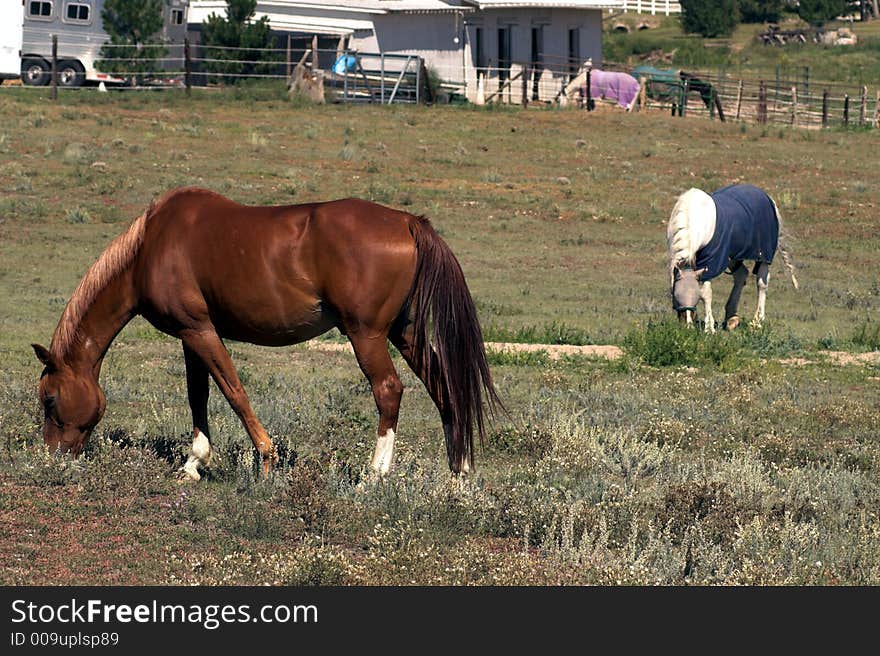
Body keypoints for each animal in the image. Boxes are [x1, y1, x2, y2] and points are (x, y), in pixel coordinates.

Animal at [32, 187, 502, 480]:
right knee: (443, 388)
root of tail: (407, 222)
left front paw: (265, 457)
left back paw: (374, 476)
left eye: (49, 399)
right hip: (404, 333)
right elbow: (199, 395)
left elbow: (233, 392)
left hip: (367, 335)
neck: (150, 245)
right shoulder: (191, 336)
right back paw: (458, 473)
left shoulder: (199, 331)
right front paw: (194, 463)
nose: (52, 458)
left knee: (389, 390)